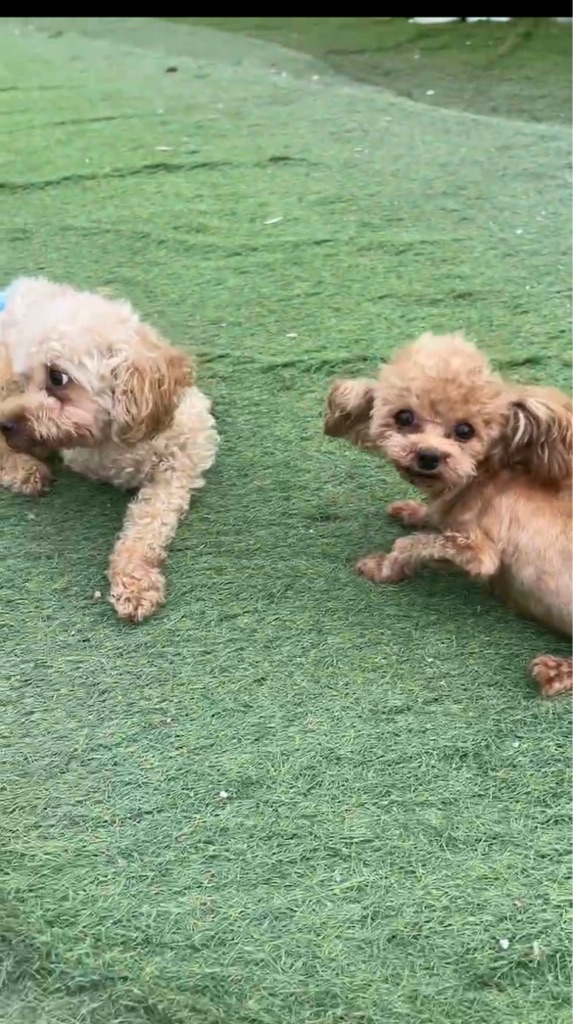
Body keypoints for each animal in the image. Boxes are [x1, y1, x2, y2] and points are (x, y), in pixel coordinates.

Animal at [0, 276, 219, 622]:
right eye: (25, 379)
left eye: (57, 377)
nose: (6, 424)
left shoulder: (183, 459)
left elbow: (149, 523)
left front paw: (135, 580)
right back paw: (25, 470)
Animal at [324, 331, 572, 697]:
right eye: (404, 417)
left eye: (465, 431)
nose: (428, 456)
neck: (484, 477)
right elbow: (429, 522)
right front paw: (413, 511)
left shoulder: (478, 553)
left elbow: (411, 545)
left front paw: (383, 567)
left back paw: (556, 672)